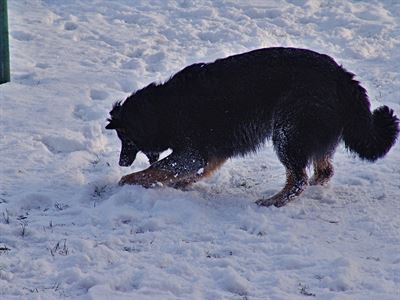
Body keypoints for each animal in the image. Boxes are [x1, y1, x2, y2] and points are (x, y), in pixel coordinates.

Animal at [104, 47, 398, 206]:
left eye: (124, 138)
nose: (120, 162)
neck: (164, 107)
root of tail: (341, 75)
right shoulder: (210, 155)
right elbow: (177, 172)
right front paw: (176, 184)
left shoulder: (192, 153)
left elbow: (153, 171)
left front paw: (124, 182)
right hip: (305, 135)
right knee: (323, 171)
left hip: (287, 133)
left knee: (298, 180)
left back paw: (273, 201)